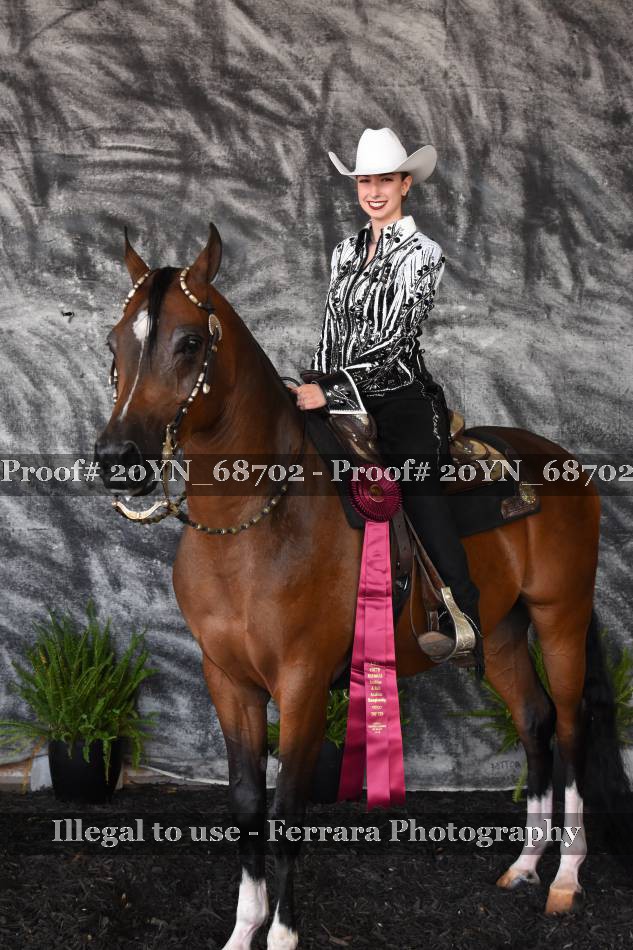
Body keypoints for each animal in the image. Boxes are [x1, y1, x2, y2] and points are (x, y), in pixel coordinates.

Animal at [95, 223, 632, 949]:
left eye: (189, 342)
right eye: (114, 342)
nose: (117, 459)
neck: (254, 523)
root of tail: (564, 463)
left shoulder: (299, 682)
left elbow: (288, 811)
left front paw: (282, 935)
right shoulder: (226, 681)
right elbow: (246, 807)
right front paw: (244, 928)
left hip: (560, 618)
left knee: (572, 726)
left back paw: (565, 879)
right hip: (499, 632)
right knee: (534, 718)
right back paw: (524, 865)